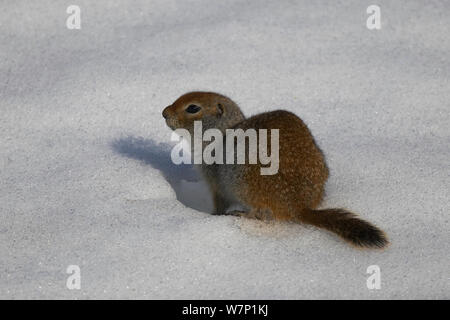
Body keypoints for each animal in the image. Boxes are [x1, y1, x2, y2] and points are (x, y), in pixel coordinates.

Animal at [163, 91, 388, 249]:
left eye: (193, 108)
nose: (164, 112)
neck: (222, 131)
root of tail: (298, 205)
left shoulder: (214, 180)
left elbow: (219, 202)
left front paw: (214, 215)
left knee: (262, 214)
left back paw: (242, 214)